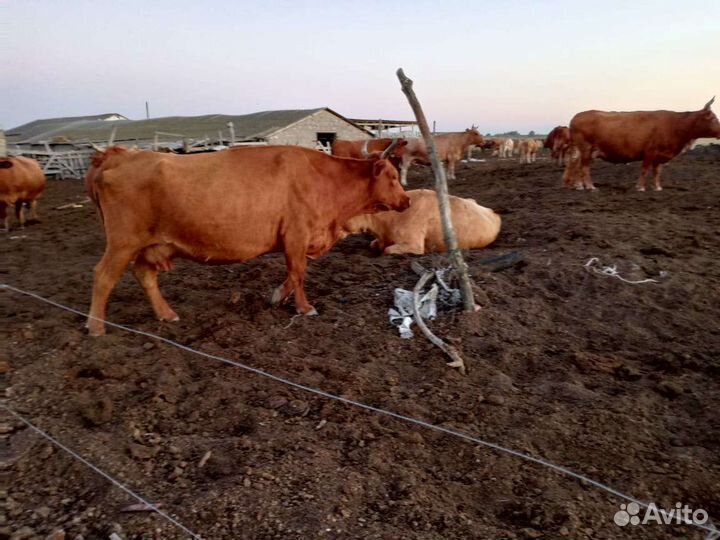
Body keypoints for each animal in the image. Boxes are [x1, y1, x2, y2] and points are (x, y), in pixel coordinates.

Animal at [84, 144, 410, 336]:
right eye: (394, 178)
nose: (407, 200)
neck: (326, 180)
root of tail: (119, 154)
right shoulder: (296, 234)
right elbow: (298, 272)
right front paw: (304, 308)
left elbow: (293, 274)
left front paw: (278, 296)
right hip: (123, 241)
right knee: (103, 276)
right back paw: (96, 326)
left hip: (152, 245)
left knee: (144, 275)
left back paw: (166, 314)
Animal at [563, 97, 720, 191]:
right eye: (713, 118)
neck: (676, 126)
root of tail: (576, 117)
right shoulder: (650, 151)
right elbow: (644, 169)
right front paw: (640, 187)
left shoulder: (660, 156)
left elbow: (657, 172)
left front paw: (657, 188)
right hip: (586, 148)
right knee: (584, 167)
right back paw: (590, 186)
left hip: (585, 150)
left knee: (577, 165)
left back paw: (579, 185)